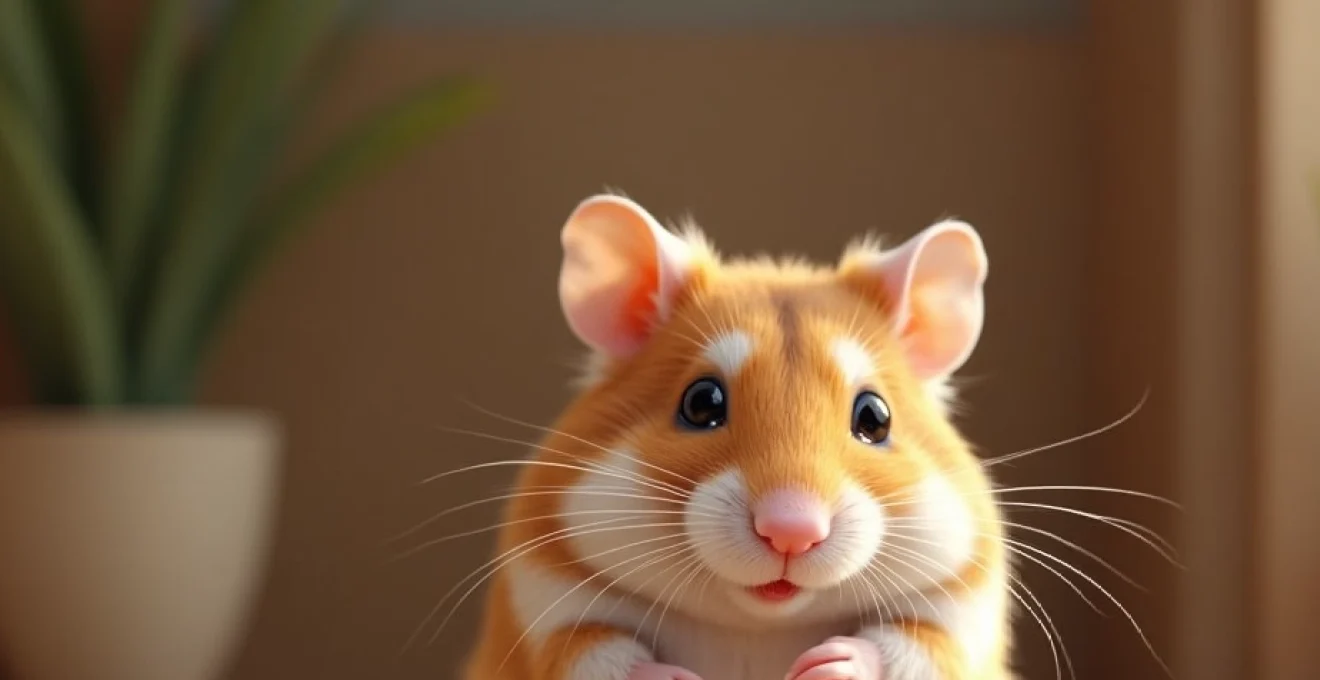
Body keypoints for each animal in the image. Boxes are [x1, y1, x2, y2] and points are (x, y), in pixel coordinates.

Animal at [460, 193, 1009, 680]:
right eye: (701, 403)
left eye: (875, 418)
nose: (792, 532)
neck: (757, 622)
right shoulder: (543, 614)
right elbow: (594, 651)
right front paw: (675, 676)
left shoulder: (960, 622)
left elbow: (914, 645)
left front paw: (826, 664)